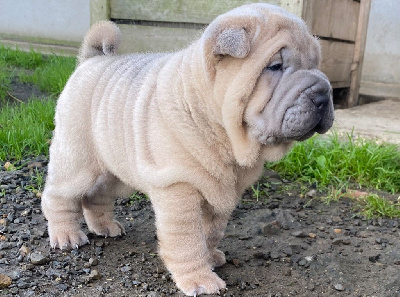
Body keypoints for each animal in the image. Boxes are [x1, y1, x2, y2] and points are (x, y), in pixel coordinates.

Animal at [41, 2, 334, 296]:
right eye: (275, 66)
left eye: (316, 65)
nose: (324, 93)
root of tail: (90, 60)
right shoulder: (179, 187)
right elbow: (187, 239)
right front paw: (200, 280)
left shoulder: (222, 189)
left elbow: (211, 231)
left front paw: (211, 257)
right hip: (77, 159)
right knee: (58, 195)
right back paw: (66, 235)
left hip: (116, 172)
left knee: (96, 195)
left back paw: (105, 226)